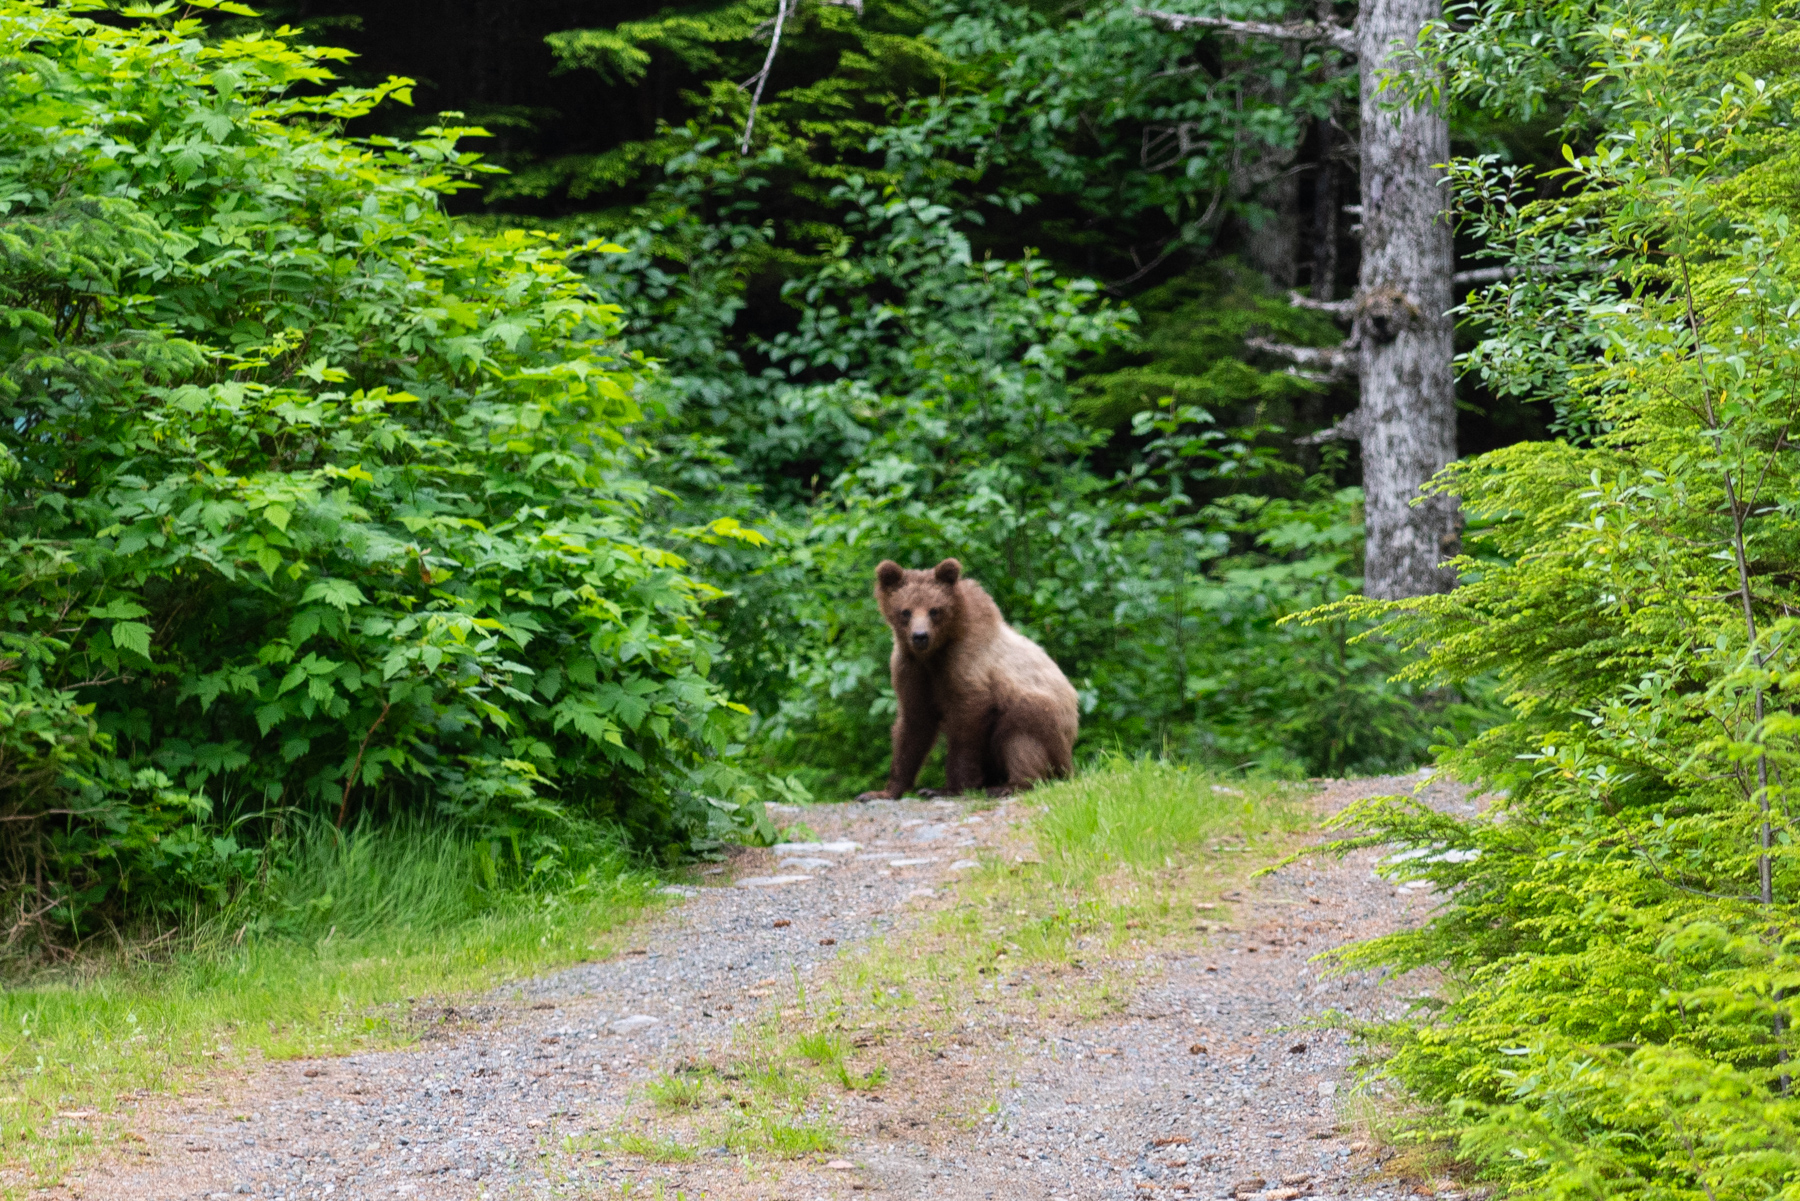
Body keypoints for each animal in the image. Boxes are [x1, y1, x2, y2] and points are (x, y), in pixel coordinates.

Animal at [855, 558, 1079, 800]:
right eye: (905, 611)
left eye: (934, 610)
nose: (920, 637)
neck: (935, 654)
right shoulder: (912, 669)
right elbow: (914, 724)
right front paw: (882, 791)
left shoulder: (964, 663)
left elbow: (967, 726)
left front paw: (947, 787)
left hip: (1046, 720)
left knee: (1021, 736)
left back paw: (1009, 784)